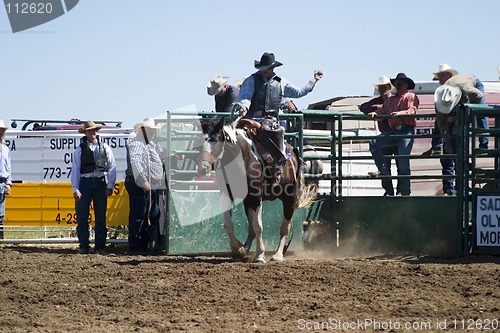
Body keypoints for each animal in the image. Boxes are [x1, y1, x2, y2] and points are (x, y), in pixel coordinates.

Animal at [196, 116, 316, 262]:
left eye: (216, 139)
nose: (203, 167)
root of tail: (293, 152)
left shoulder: (256, 197)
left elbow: (258, 226)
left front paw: (259, 255)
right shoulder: (227, 194)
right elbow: (229, 225)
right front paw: (238, 249)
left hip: (289, 199)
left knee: (284, 228)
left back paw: (277, 255)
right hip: (248, 202)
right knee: (251, 229)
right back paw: (245, 249)